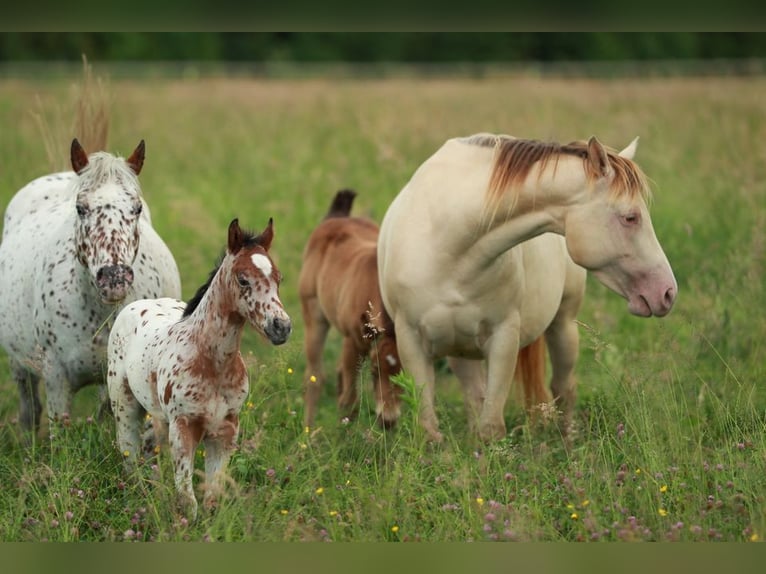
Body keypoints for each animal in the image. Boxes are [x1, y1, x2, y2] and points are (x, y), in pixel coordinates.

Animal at [0, 140, 183, 436]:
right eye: (80, 208)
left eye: (137, 208)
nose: (114, 278)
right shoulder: (56, 379)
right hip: (20, 365)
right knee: (29, 410)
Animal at [109, 217, 296, 520]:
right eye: (243, 279)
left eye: (279, 278)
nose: (281, 326)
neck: (212, 364)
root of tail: (137, 305)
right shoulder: (183, 429)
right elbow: (188, 501)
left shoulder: (225, 432)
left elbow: (213, 497)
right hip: (124, 406)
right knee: (130, 455)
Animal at [298, 191, 552, 434]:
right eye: (374, 371)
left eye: (403, 374)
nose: (388, 421)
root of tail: (336, 217)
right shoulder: (354, 341)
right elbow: (349, 394)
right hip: (314, 319)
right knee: (315, 377)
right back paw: (309, 430)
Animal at [378, 133, 680, 444]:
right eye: (631, 217)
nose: (667, 292)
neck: (448, 244)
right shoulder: (410, 341)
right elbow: (429, 426)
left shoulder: (504, 337)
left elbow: (491, 428)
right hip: (458, 349)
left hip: (563, 325)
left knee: (563, 388)